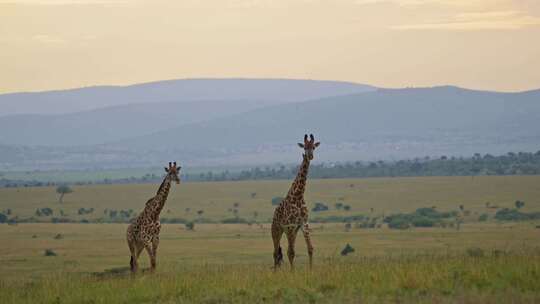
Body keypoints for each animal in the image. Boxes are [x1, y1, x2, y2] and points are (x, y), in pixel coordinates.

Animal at [272, 134, 318, 270]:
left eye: (313, 147)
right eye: (305, 147)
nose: (310, 156)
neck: (298, 196)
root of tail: (274, 213)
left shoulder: (303, 223)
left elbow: (310, 248)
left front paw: (311, 270)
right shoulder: (290, 226)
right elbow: (291, 252)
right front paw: (293, 272)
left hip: (292, 231)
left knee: (282, 251)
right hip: (277, 230)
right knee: (276, 252)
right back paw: (275, 272)